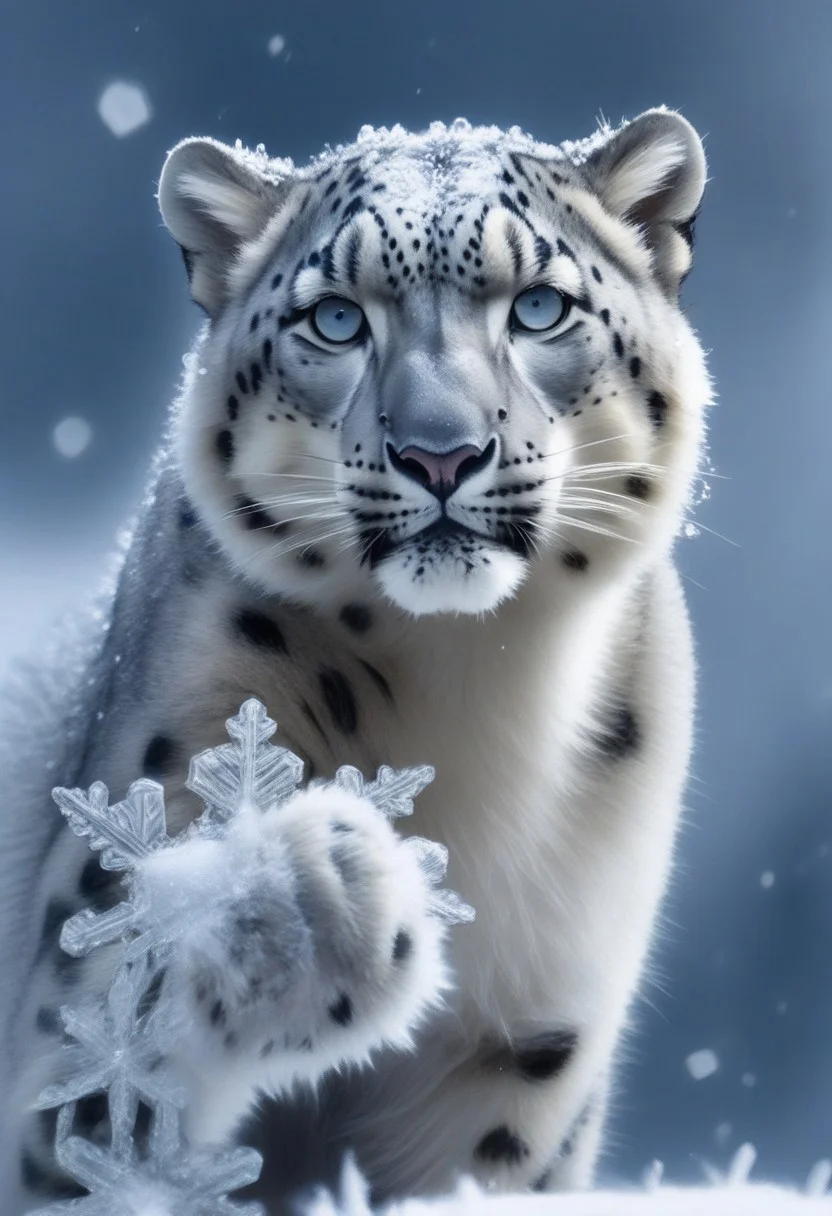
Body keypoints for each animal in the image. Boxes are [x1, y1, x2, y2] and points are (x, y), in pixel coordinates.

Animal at [0, 106, 710, 1213]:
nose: (440, 454)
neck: (477, 686)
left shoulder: (526, 1041)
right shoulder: (73, 996)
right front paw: (301, 899)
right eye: (335, 320)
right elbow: (111, 1085)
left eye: (539, 308)